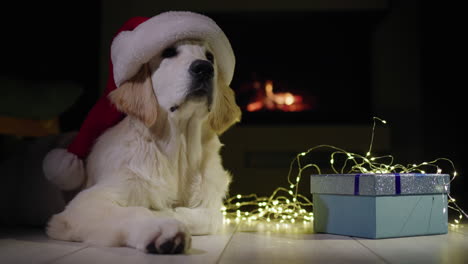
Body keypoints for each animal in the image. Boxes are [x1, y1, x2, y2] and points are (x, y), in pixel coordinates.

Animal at [46, 39, 241, 254]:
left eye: (210, 57)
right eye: (168, 52)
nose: (204, 68)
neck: (178, 153)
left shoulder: (211, 202)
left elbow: (212, 217)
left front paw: (169, 213)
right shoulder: (86, 202)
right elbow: (134, 211)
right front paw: (160, 226)